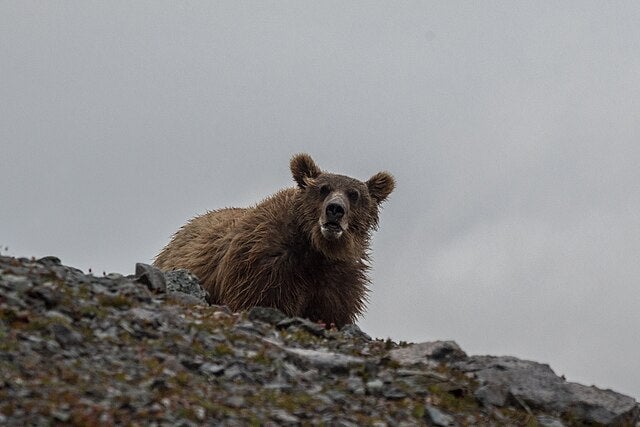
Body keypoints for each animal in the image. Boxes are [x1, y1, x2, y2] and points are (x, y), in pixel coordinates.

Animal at [154, 153, 394, 327]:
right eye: (322, 189)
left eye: (354, 194)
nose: (335, 209)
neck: (316, 251)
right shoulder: (265, 267)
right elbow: (262, 300)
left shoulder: (338, 283)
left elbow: (332, 313)